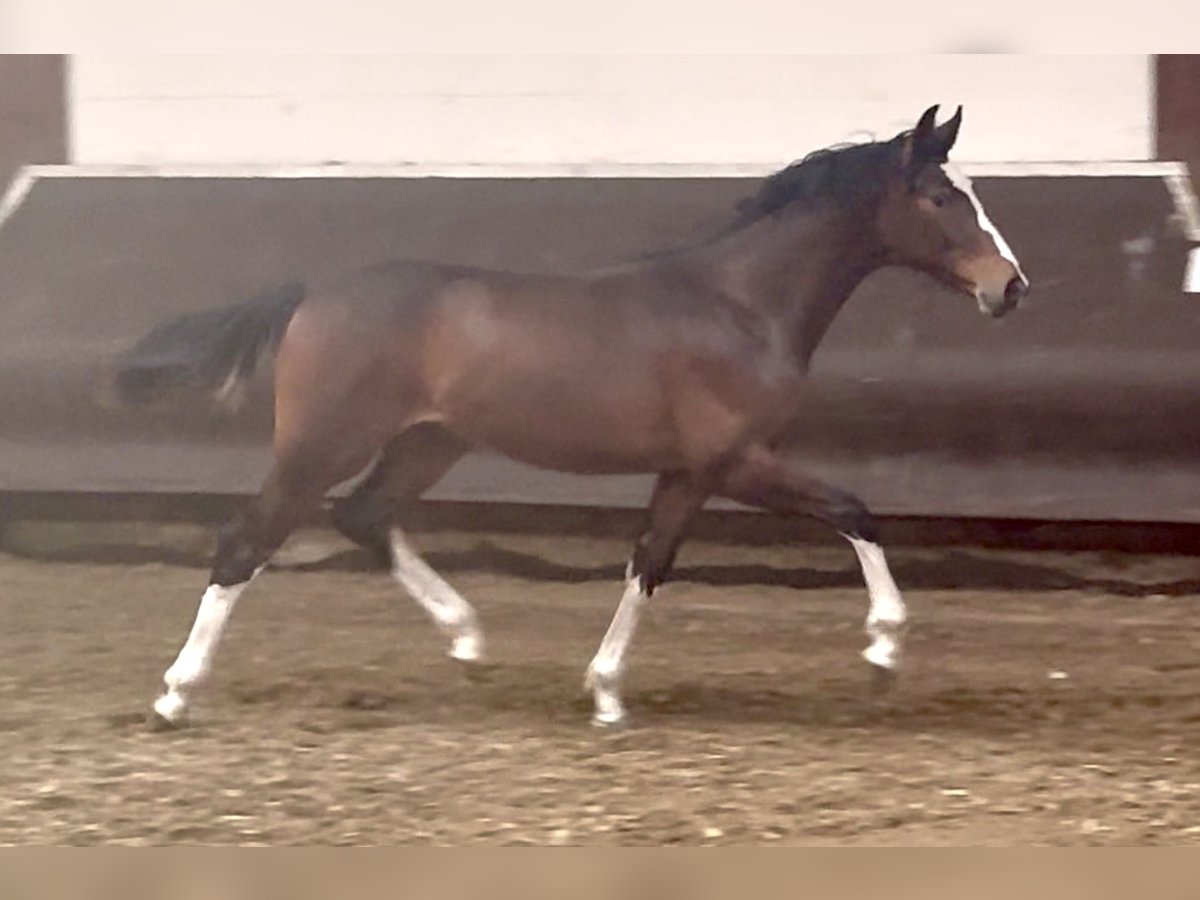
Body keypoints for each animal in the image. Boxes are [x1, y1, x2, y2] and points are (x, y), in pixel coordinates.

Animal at [109, 105, 1028, 728]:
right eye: (939, 197)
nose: (1010, 286)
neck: (736, 304)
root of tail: (312, 292)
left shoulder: (688, 471)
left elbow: (649, 562)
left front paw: (608, 693)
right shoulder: (735, 461)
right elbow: (855, 510)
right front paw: (883, 650)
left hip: (428, 441)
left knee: (364, 515)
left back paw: (469, 642)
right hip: (322, 443)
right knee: (246, 540)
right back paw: (175, 695)